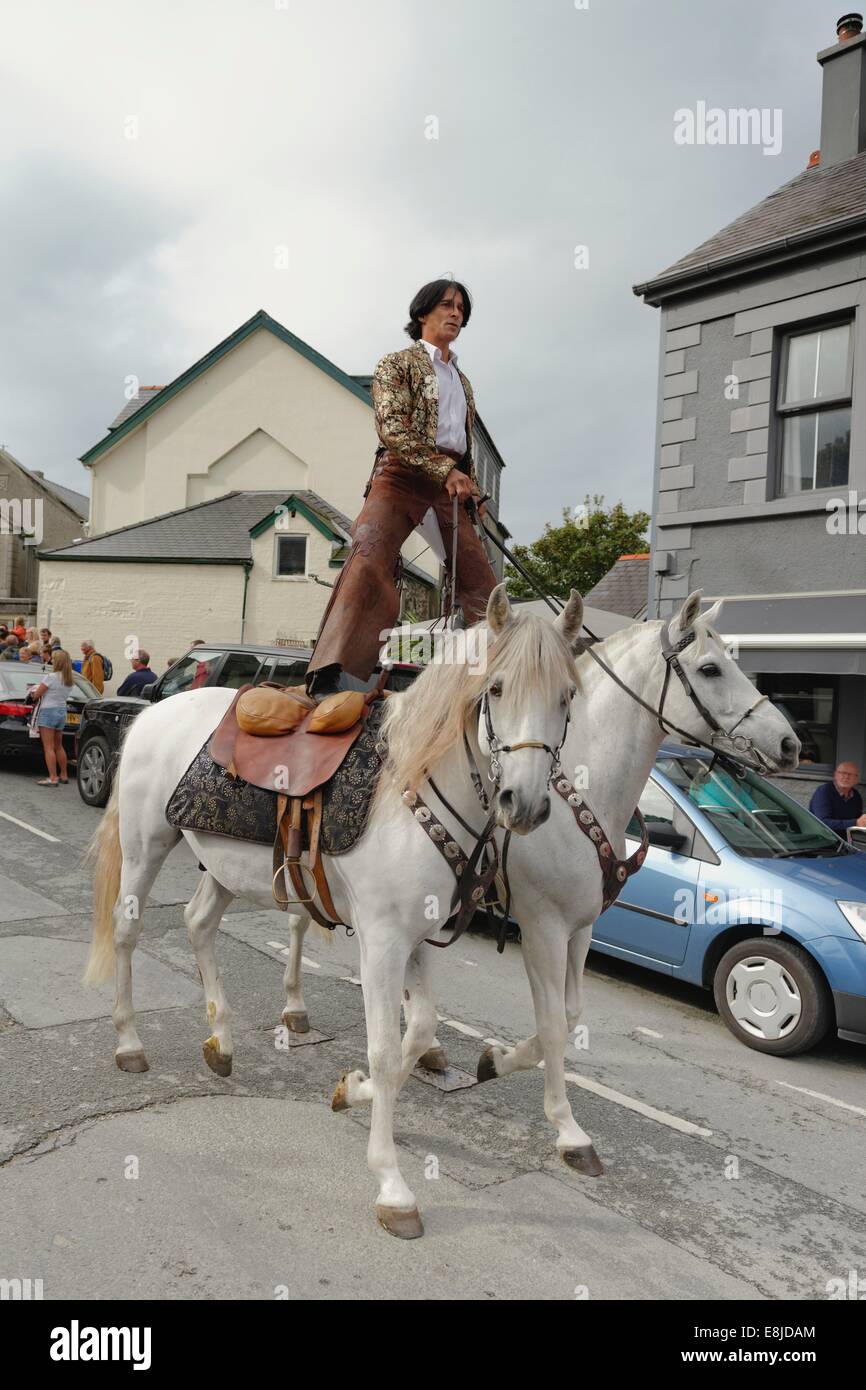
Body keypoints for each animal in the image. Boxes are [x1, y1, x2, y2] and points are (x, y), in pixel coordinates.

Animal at [83, 581, 583, 1234]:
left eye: (567, 696)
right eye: (495, 689)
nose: (522, 804)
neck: (414, 789)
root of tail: (152, 711)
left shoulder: (416, 938)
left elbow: (421, 1030)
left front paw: (354, 1091)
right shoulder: (383, 942)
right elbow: (385, 1046)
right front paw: (392, 1182)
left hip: (223, 869)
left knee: (197, 924)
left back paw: (221, 1040)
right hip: (147, 846)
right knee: (127, 930)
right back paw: (129, 1043)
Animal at [283, 586, 800, 1184]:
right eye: (712, 668)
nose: (789, 743)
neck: (584, 791)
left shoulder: (580, 930)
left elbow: (571, 1015)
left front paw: (494, 1060)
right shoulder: (541, 926)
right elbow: (553, 1023)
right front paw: (568, 1130)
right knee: (297, 922)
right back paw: (294, 1009)